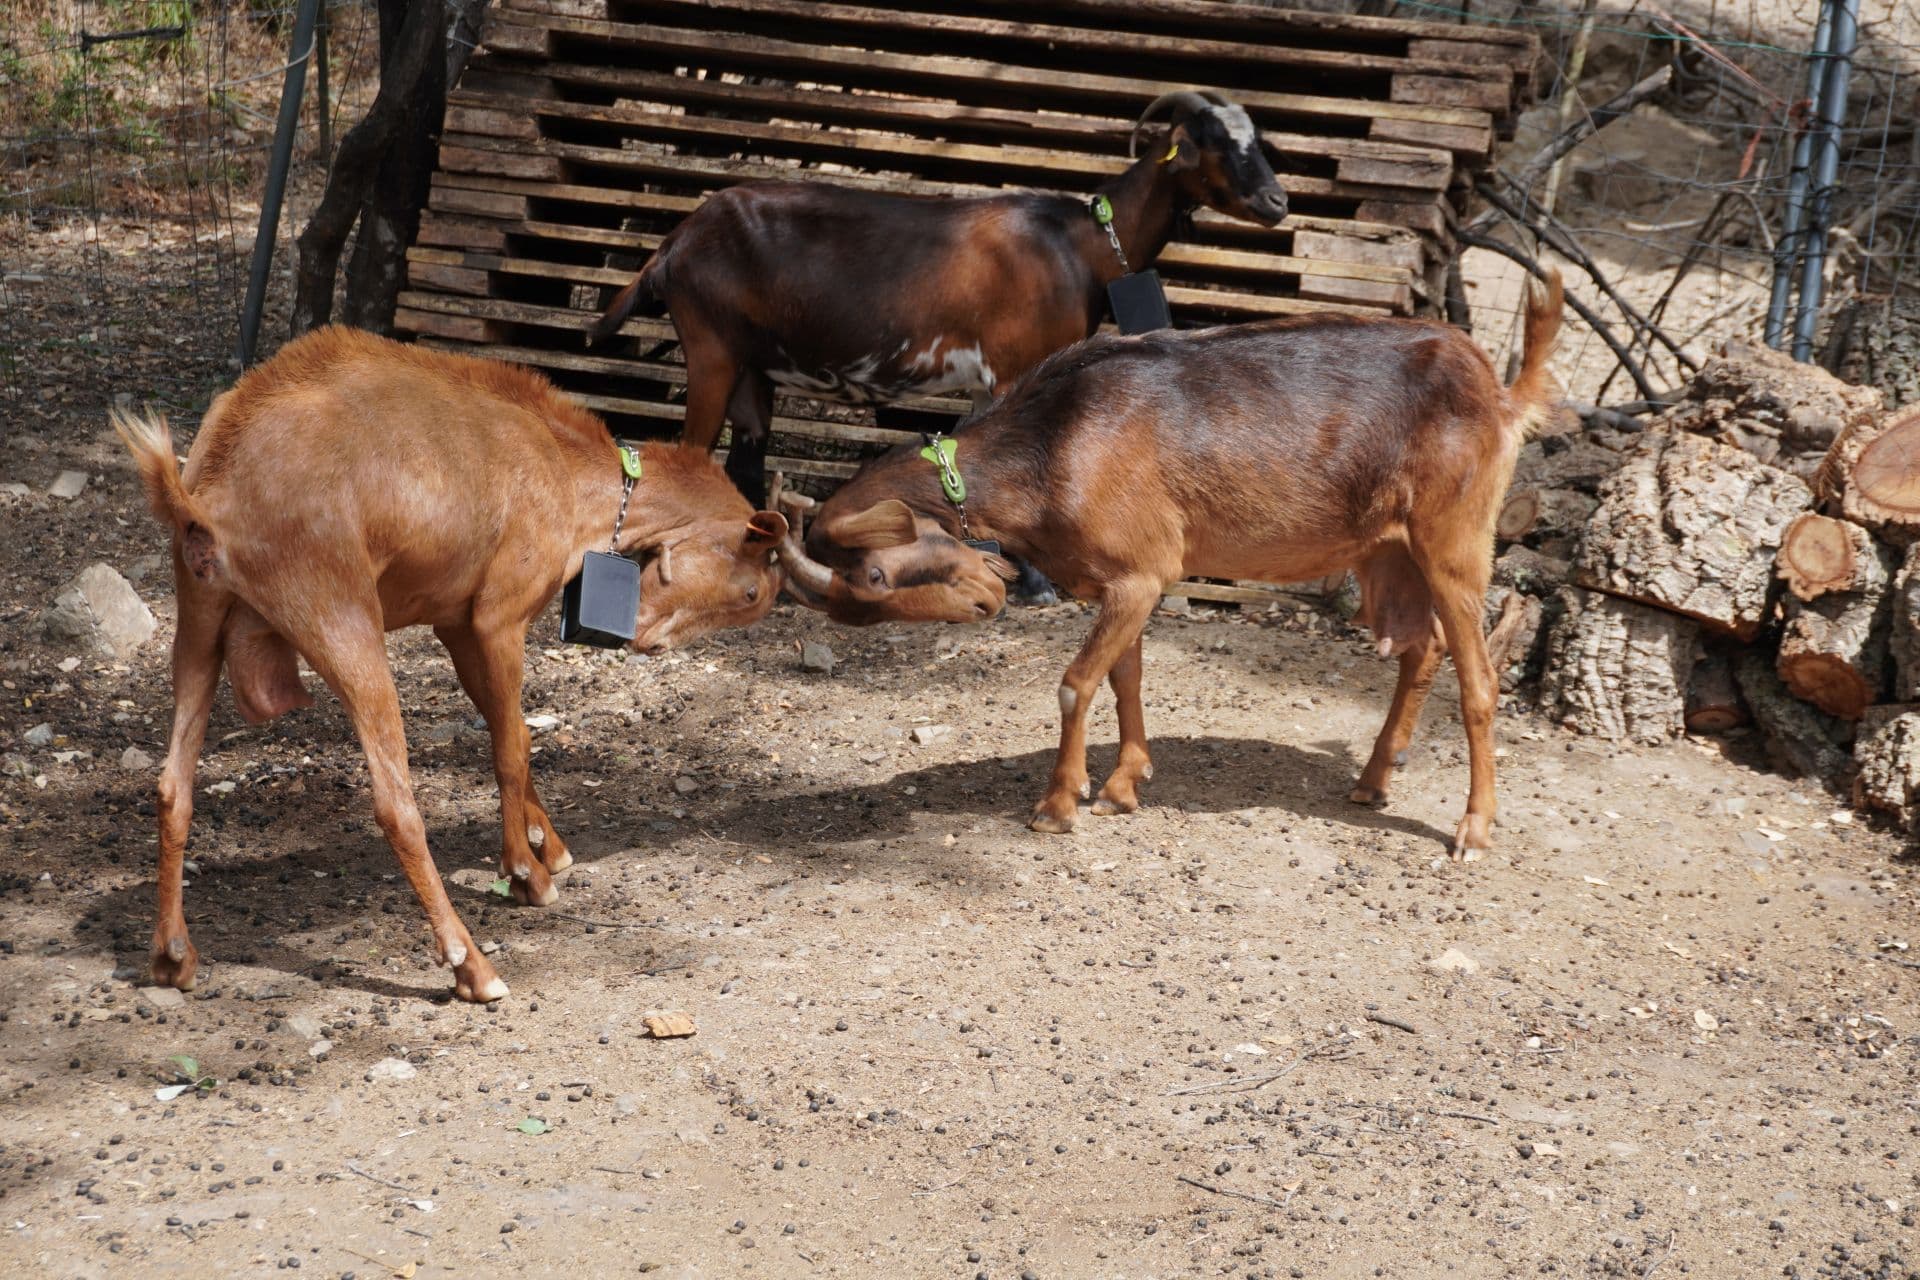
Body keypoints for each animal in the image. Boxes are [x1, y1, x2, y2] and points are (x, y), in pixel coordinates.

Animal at [114, 328, 789, 1002]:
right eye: (751, 591)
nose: (646, 640)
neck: (569, 473)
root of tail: (209, 493)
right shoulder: (499, 616)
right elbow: (511, 746)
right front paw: (526, 874)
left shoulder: (458, 623)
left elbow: (506, 726)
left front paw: (550, 845)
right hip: (341, 619)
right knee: (395, 803)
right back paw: (472, 966)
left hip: (198, 624)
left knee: (172, 785)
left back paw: (172, 955)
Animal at [589, 90, 1288, 511]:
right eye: (1214, 143)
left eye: (1259, 142)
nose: (1278, 202)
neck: (1082, 243)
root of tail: (676, 240)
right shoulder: (1018, 364)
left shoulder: (993, 381)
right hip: (710, 346)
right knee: (692, 450)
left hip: (753, 363)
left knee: (748, 455)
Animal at [774, 274, 1564, 860]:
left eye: (875, 577)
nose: (985, 602)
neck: (1054, 442)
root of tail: (1499, 393)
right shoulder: (1126, 578)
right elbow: (1125, 675)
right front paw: (1123, 785)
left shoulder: (1141, 572)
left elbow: (1076, 683)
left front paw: (1058, 803)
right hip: (1385, 550)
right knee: (1419, 646)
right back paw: (1372, 782)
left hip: (1455, 536)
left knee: (1480, 682)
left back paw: (1473, 830)